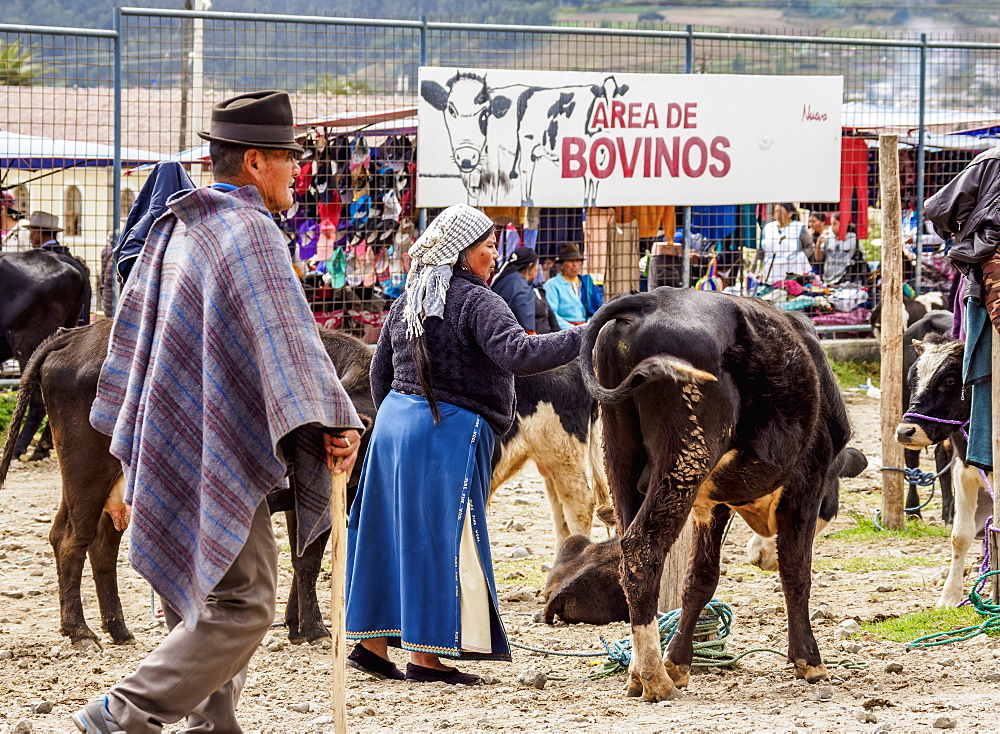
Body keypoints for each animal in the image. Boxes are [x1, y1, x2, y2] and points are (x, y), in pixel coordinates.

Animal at [896, 336, 988, 608]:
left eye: (948, 381)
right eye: (911, 379)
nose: (905, 431)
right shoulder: (963, 470)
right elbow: (960, 536)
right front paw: (949, 596)